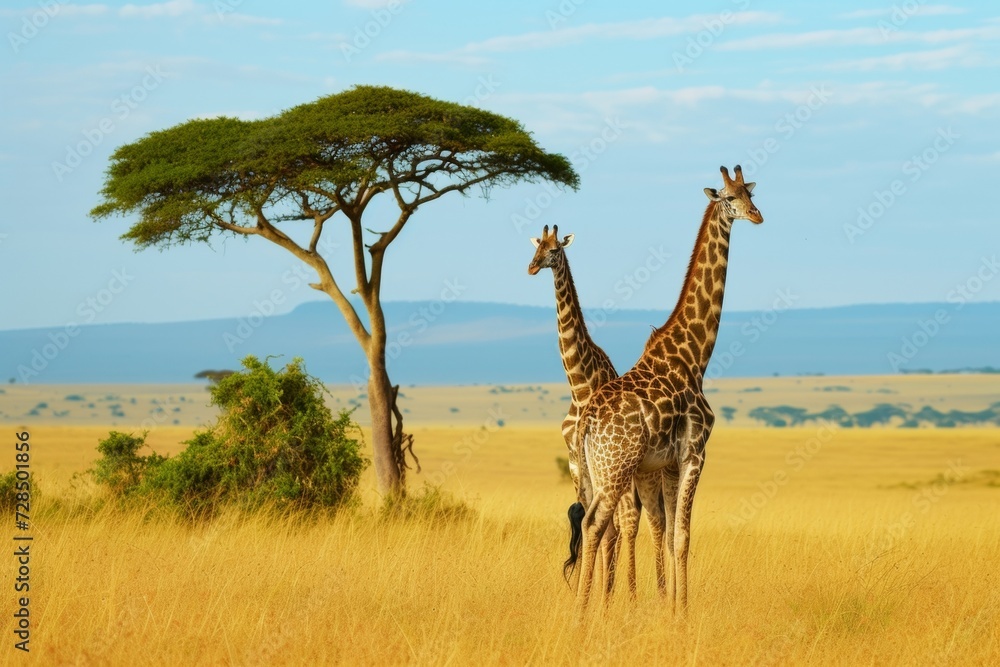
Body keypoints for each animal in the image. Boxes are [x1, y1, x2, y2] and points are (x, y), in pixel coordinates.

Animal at [573, 165, 763, 614]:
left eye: (750, 193)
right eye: (729, 198)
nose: (757, 215)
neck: (694, 356)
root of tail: (587, 421)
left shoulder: (666, 464)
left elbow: (670, 531)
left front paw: (672, 608)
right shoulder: (695, 452)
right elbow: (683, 535)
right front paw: (682, 614)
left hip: (594, 470)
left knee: (590, 523)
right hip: (615, 469)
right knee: (595, 524)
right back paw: (582, 616)